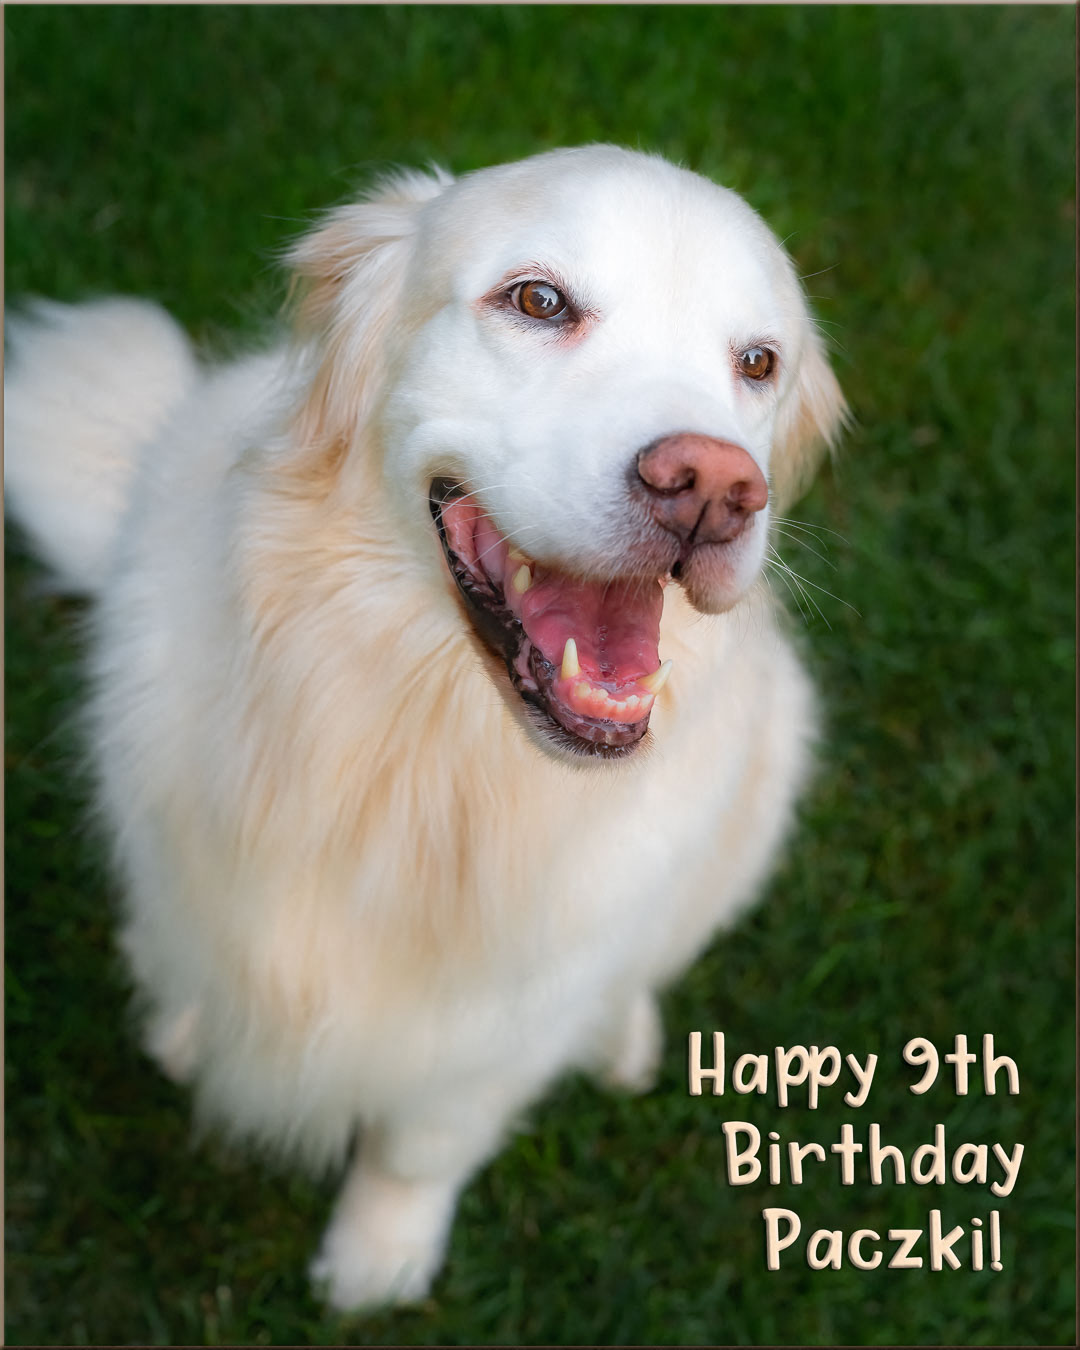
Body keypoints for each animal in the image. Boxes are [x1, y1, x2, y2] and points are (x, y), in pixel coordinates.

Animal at [4, 145, 847, 1306]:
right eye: (538, 302)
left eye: (759, 363)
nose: (716, 486)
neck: (424, 747)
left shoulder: (501, 1030)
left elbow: (419, 1146)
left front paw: (377, 1260)